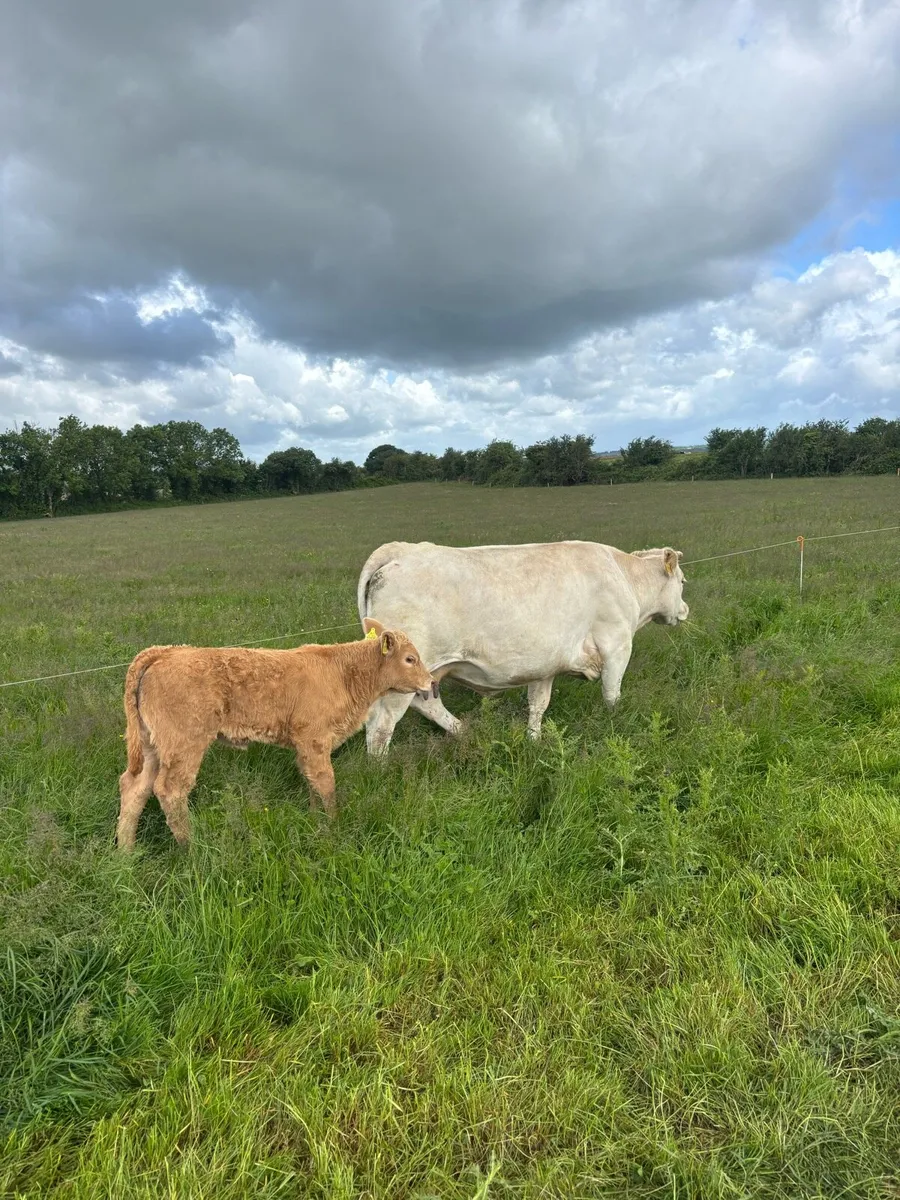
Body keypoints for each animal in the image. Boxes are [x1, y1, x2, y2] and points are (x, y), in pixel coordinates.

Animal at [115, 619, 435, 849]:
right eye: (410, 659)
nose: (431, 682)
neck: (344, 674)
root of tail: (165, 651)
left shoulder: (305, 745)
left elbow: (312, 782)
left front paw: (315, 818)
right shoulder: (315, 739)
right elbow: (326, 783)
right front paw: (334, 827)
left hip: (152, 745)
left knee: (135, 787)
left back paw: (126, 852)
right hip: (184, 743)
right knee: (169, 790)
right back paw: (192, 847)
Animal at [357, 540, 688, 754]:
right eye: (683, 581)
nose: (685, 610)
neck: (625, 578)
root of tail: (401, 549)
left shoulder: (544, 665)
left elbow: (538, 704)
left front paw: (534, 739)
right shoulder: (616, 644)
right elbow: (612, 694)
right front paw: (614, 723)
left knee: (427, 704)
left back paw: (465, 731)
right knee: (381, 726)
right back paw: (381, 771)